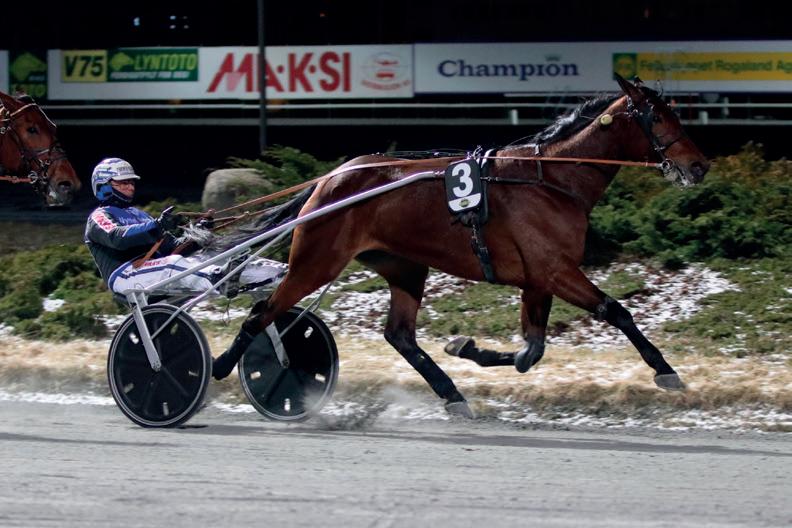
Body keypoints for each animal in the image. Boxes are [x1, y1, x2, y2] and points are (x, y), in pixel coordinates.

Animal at [229, 75, 710, 417]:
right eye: (658, 117)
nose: (699, 166)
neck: (550, 179)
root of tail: (330, 179)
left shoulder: (537, 280)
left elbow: (531, 351)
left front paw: (467, 348)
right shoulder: (556, 271)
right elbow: (616, 311)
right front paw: (665, 371)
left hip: (404, 267)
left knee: (399, 335)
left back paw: (452, 394)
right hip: (317, 261)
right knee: (262, 313)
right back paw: (223, 367)